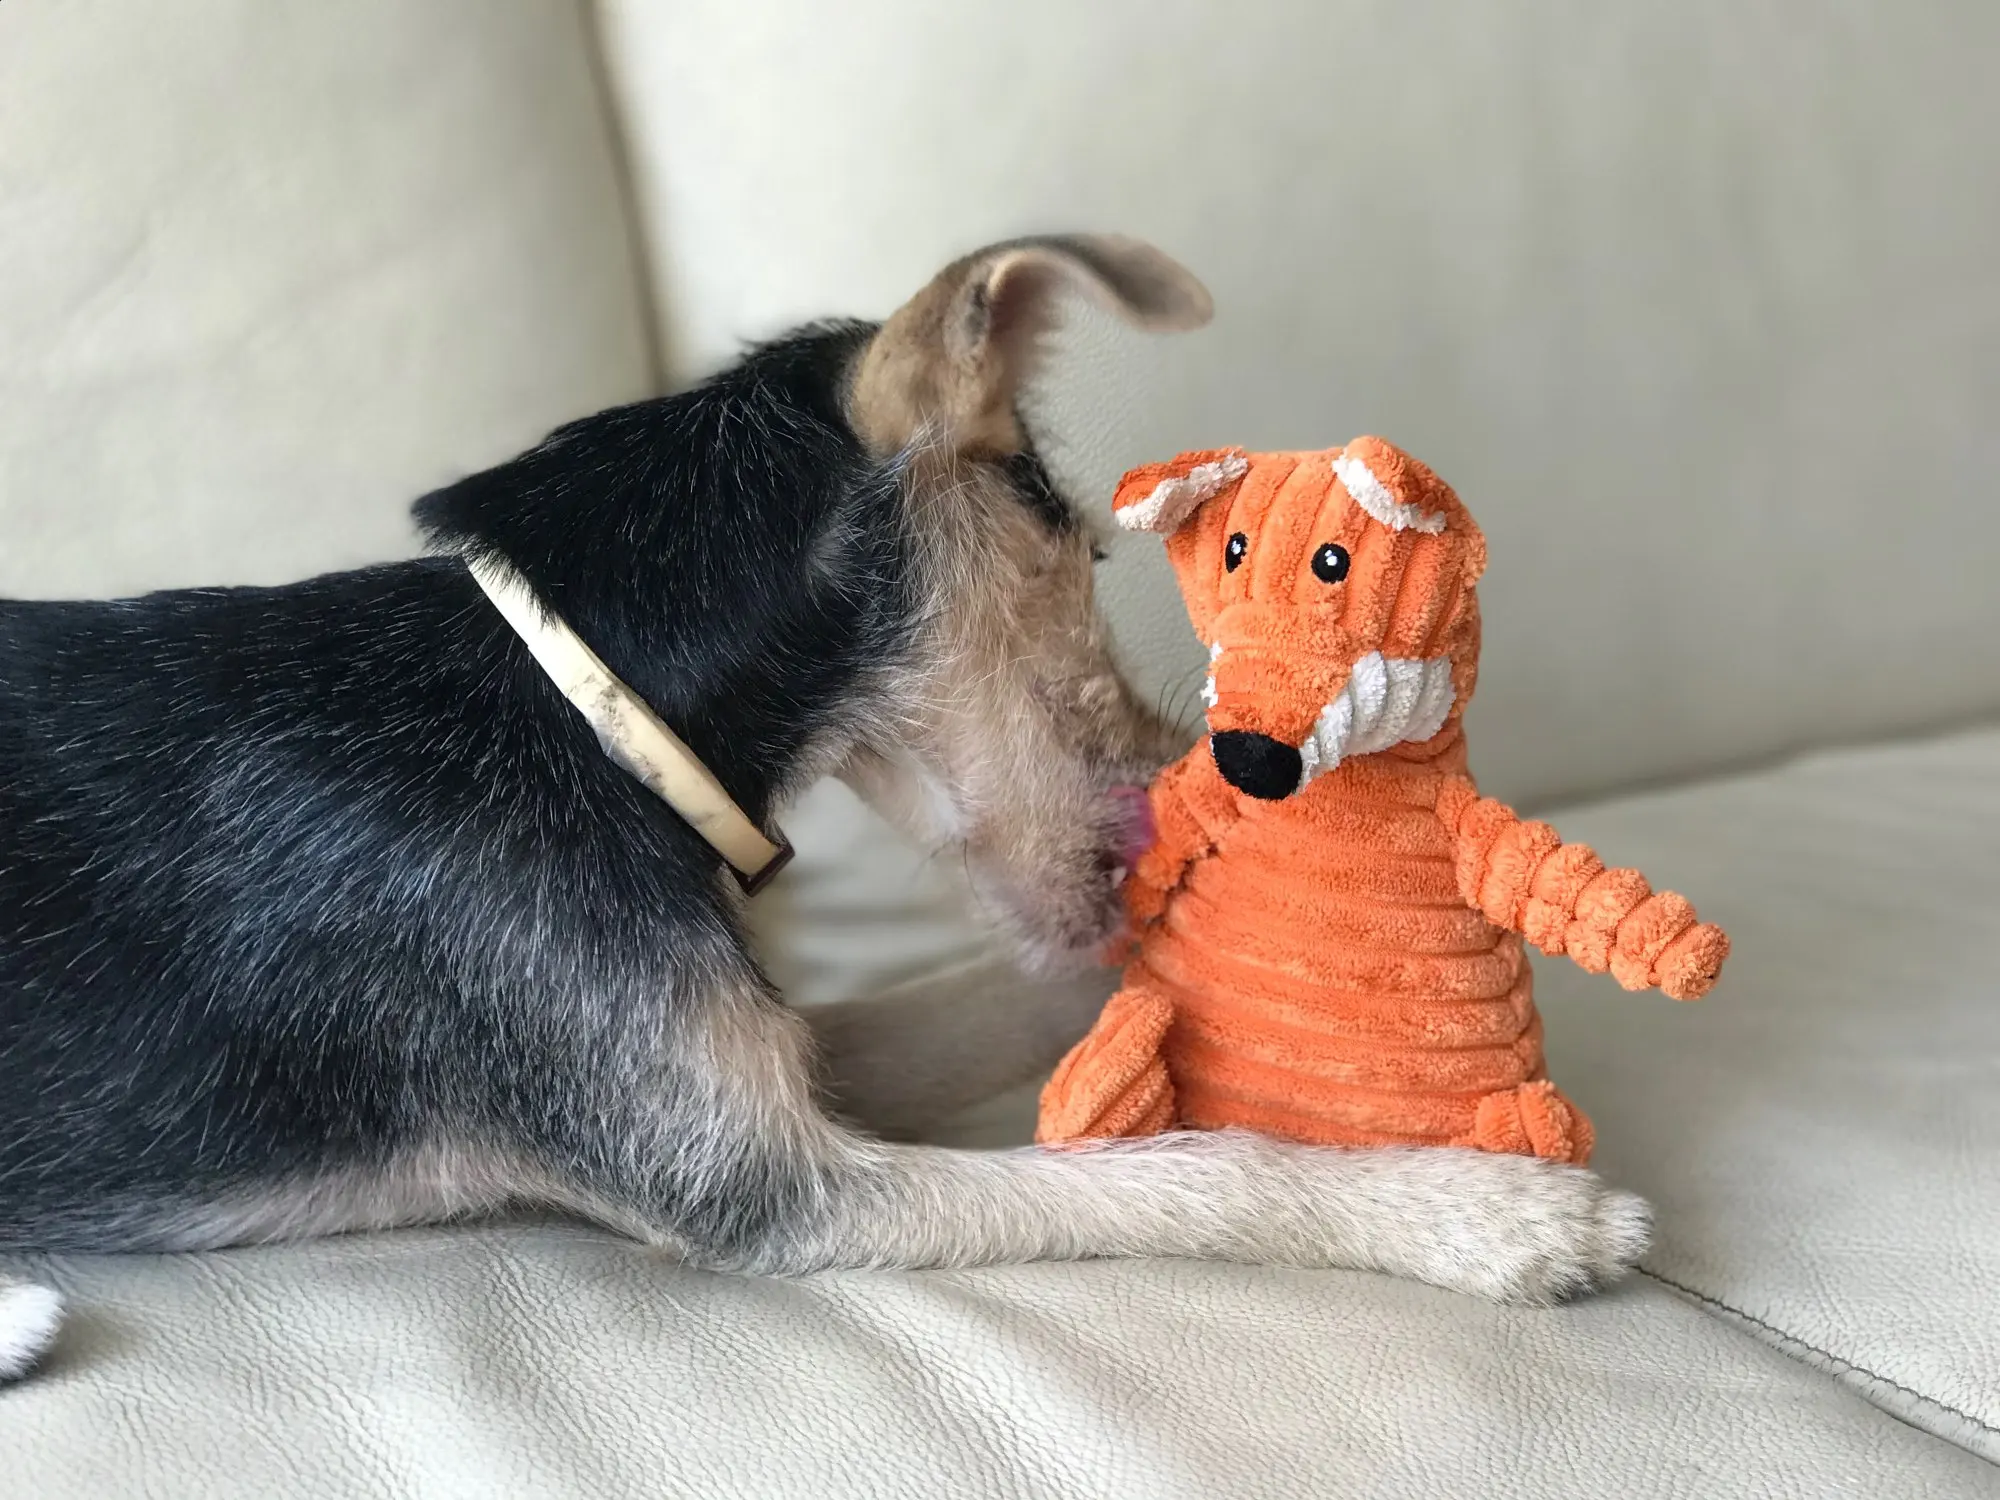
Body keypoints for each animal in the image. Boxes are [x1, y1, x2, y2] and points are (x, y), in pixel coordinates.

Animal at [0, 236, 1646, 1381]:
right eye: (1082, 558)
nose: (1195, 776)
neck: (587, 707)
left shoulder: (764, 1052)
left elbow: (995, 1004)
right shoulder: (759, 1182)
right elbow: (1198, 1174)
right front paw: (1494, 1213)